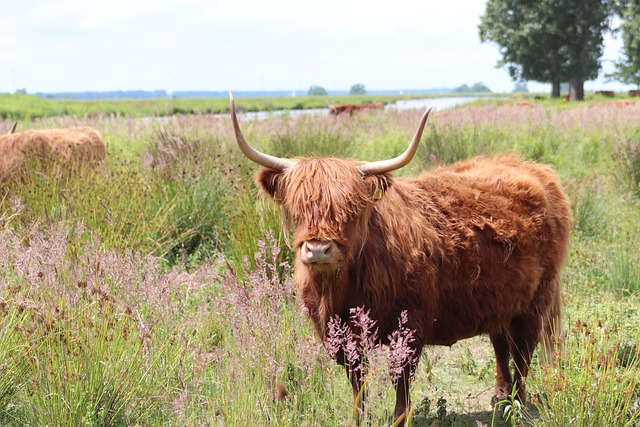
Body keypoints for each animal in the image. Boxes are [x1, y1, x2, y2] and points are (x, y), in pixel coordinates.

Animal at [232, 95, 572, 426]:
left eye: (351, 209)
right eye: (298, 208)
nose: (318, 249)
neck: (342, 291)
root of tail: (535, 169)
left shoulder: (410, 326)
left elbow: (402, 384)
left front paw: (398, 419)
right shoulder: (340, 336)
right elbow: (358, 385)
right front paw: (360, 418)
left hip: (536, 299)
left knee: (523, 351)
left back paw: (518, 405)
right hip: (499, 297)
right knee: (500, 343)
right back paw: (500, 397)